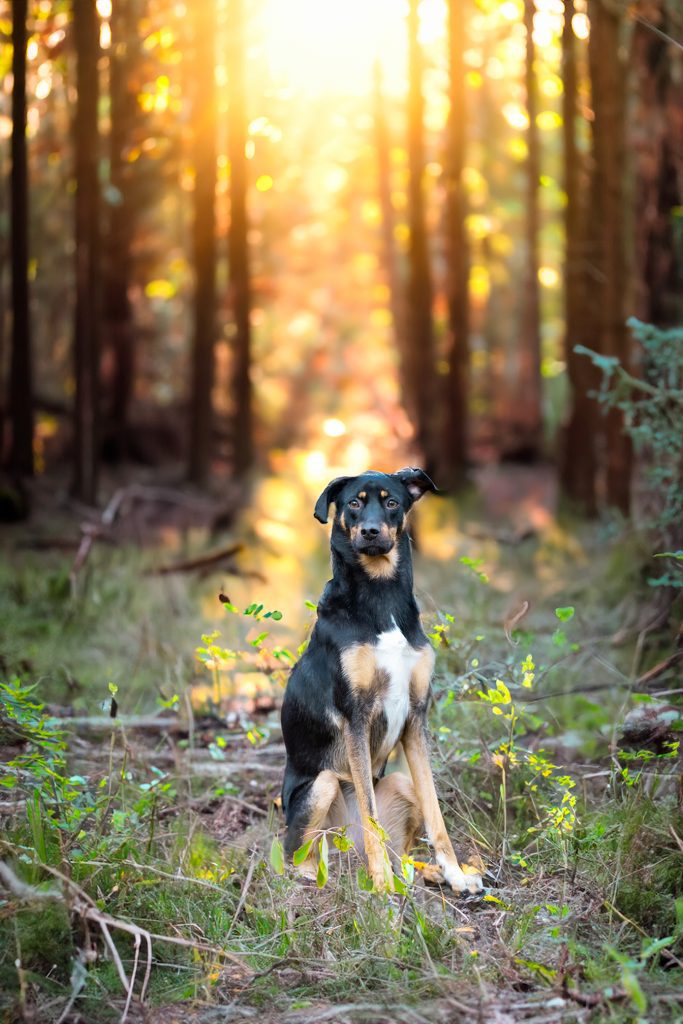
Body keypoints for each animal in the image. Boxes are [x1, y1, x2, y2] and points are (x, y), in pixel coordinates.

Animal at [280, 468, 483, 892]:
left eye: (391, 502)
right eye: (354, 503)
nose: (371, 532)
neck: (381, 595)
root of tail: (349, 853)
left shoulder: (416, 718)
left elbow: (437, 815)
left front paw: (455, 873)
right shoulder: (355, 717)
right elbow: (371, 817)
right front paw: (383, 887)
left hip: (400, 784)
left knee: (399, 849)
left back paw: (423, 872)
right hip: (323, 786)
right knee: (298, 857)